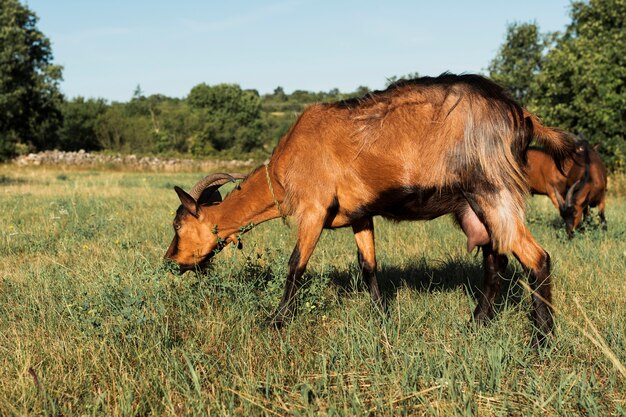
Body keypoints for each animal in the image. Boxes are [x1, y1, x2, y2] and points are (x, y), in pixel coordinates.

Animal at [165, 74, 576, 344]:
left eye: (178, 226)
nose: (171, 262)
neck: (283, 170)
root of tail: (520, 114)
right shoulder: (359, 215)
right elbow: (369, 266)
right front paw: (382, 317)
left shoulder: (314, 209)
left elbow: (295, 266)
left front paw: (275, 322)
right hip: (476, 204)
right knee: (496, 260)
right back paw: (475, 325)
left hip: (492, 188)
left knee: (536, 258)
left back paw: (541, 340)